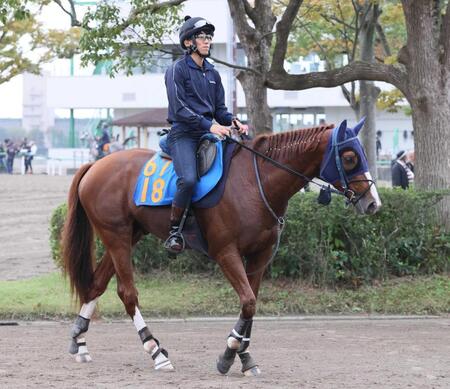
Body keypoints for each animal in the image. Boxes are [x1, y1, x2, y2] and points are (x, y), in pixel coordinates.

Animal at [62, 119, 380, 374]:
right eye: (349, 157)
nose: (373, 202)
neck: (254, 182)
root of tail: (96, 164)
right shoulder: (226, 253)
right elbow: (248, 301)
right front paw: (229, 353)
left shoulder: (260, 257)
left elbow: (250, 305)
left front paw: (244, 356)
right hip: (116, 236)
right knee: (127, 293)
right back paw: (155, 350)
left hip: (128, 235)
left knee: (97, 284)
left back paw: (80, 340)